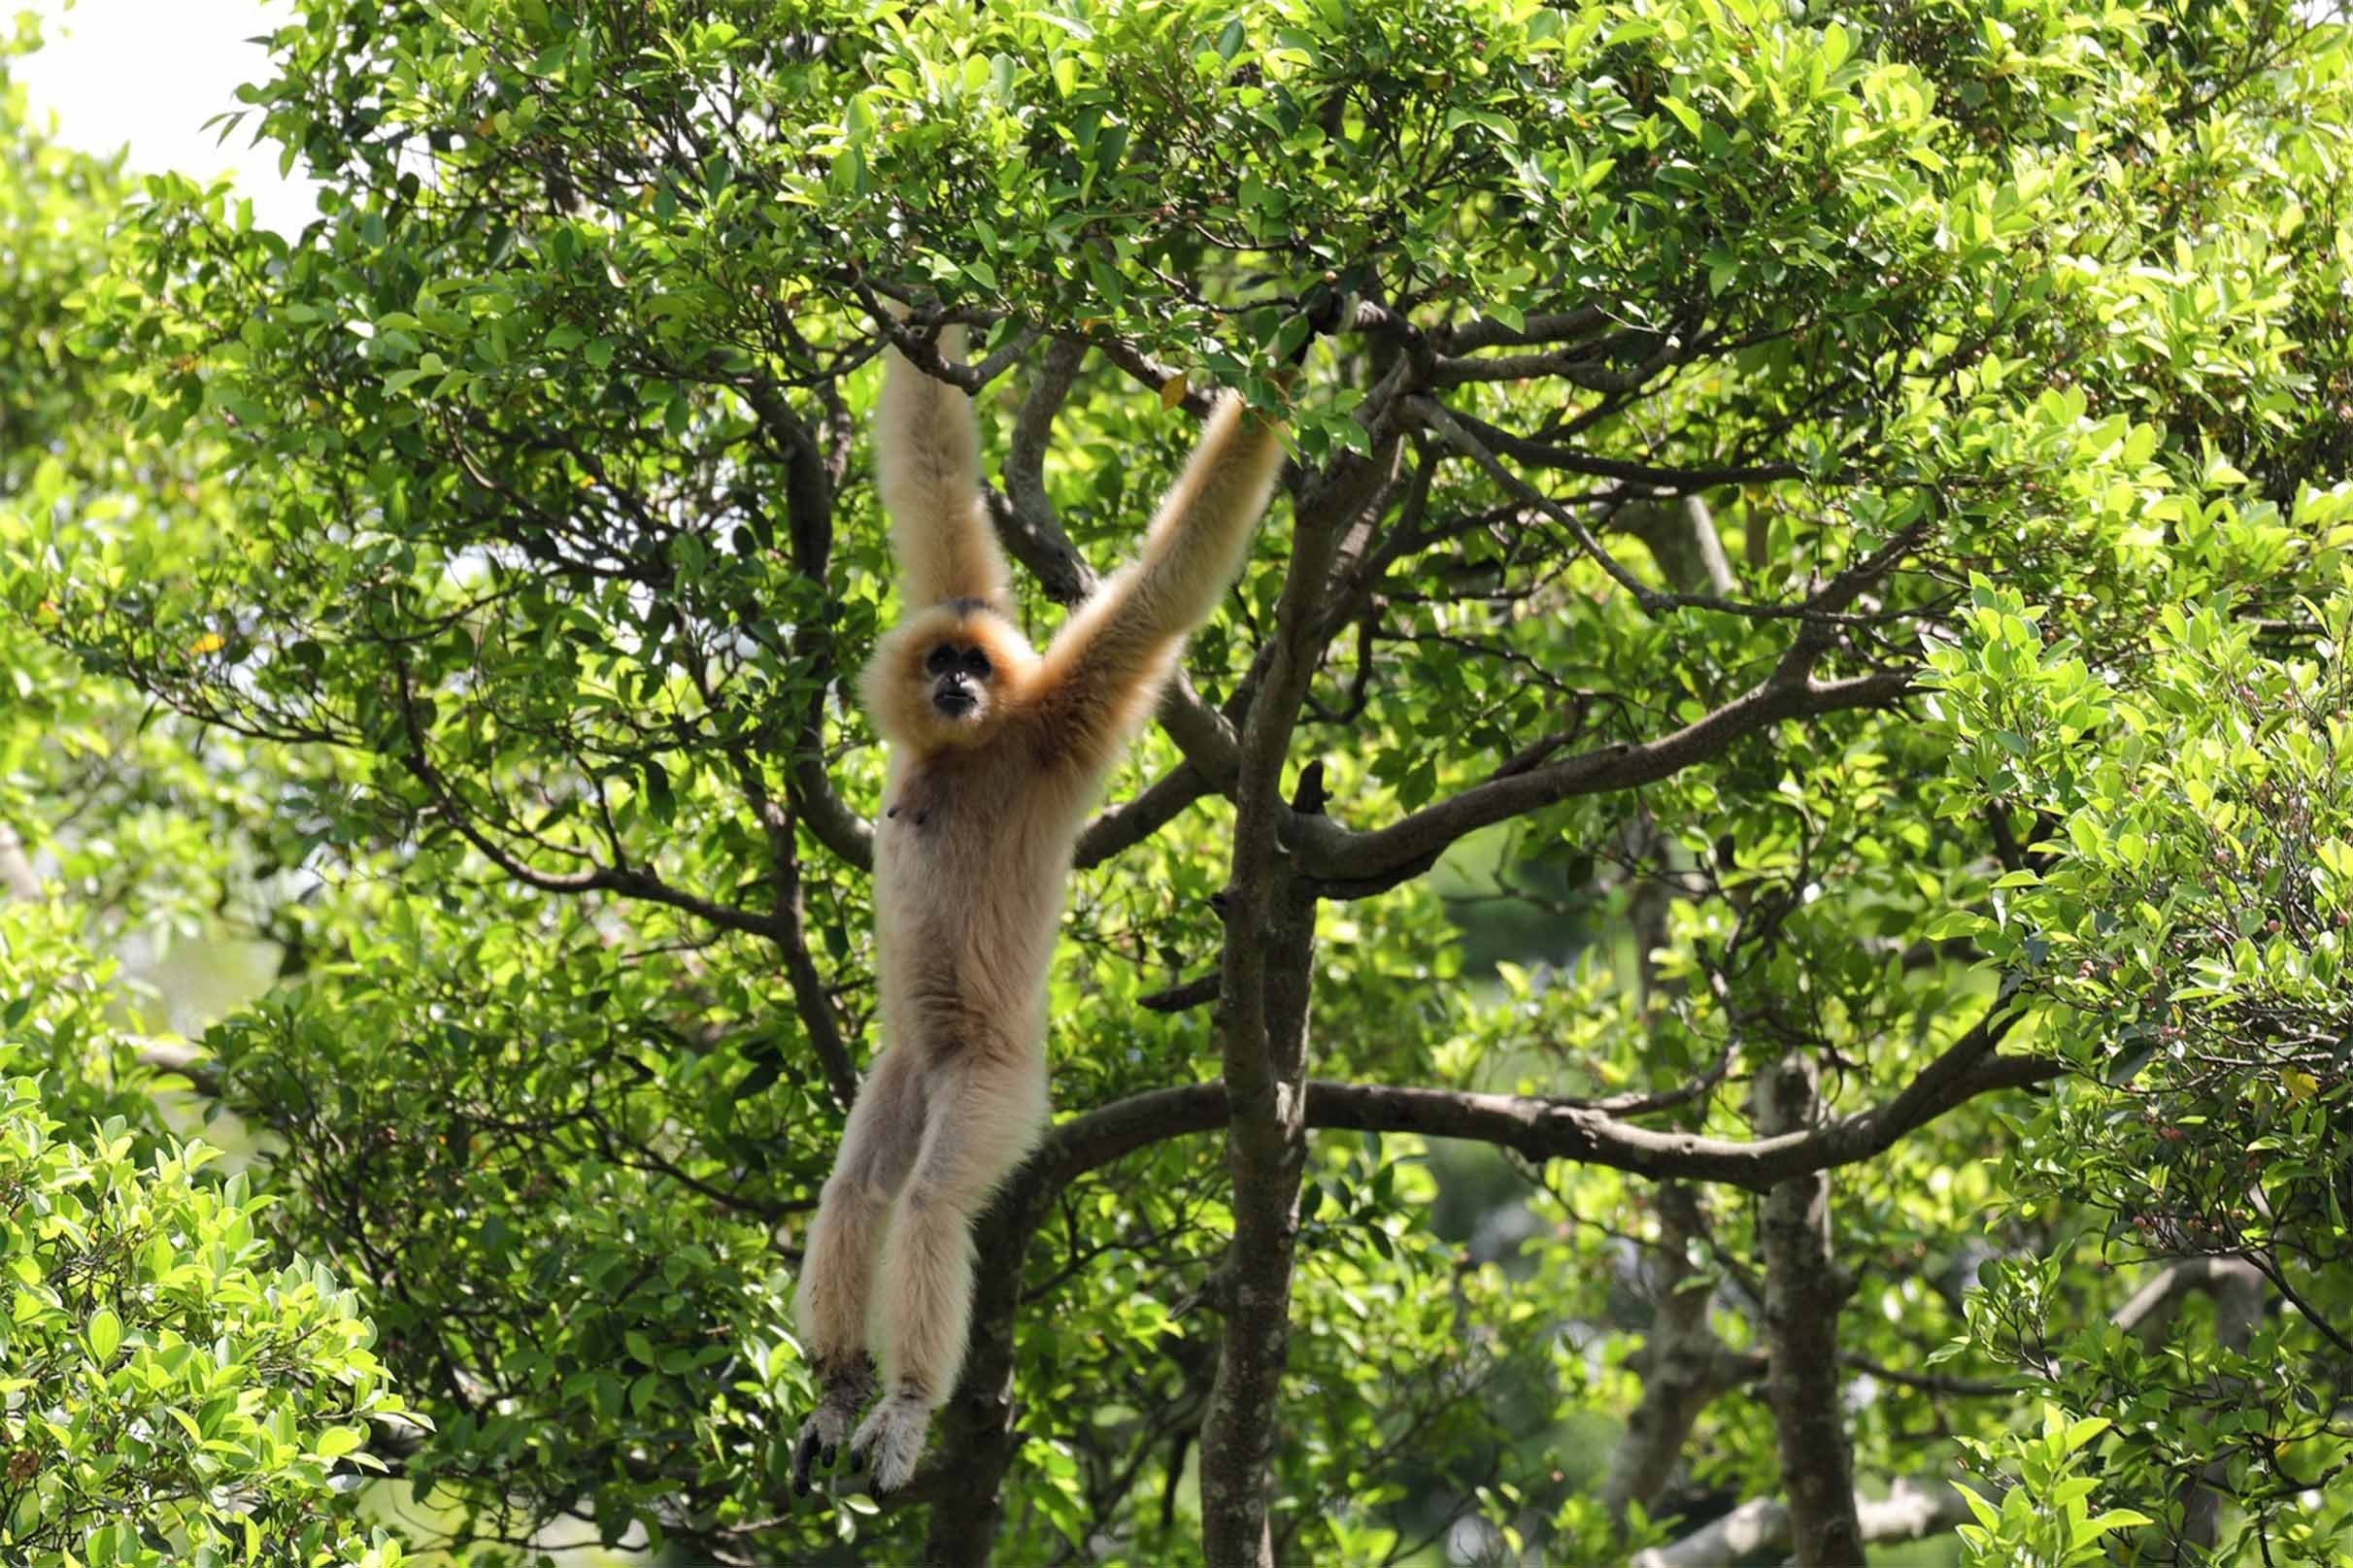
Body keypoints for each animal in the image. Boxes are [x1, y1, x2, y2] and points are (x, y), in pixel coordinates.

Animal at [790, 309, 1291, 1498]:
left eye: (976, 668)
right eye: (943, 658)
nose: (959, 685)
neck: (964, 756)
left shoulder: (1053, 721)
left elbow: (1161, 593)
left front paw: (1313, 332)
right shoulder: (974, 619)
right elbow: (933, 476)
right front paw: (926, 315)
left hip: (994, 1086)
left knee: (929, 1200)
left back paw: (902, 1408)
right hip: (906, 1068)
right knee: (859, 1193)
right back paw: (838, 1393)